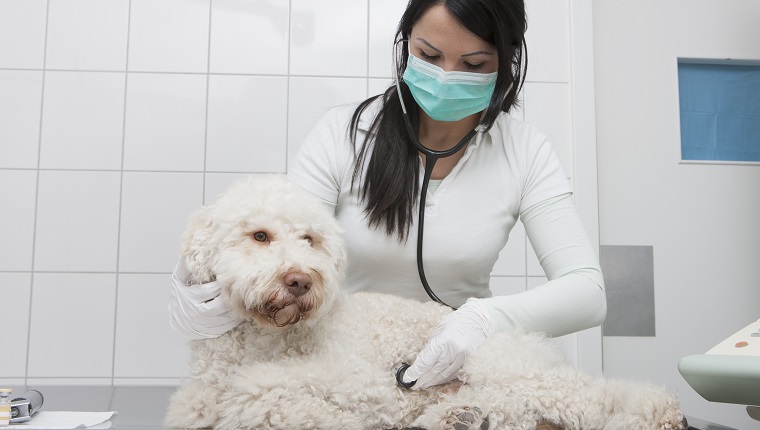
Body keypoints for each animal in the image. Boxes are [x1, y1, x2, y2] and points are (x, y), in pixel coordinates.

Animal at [163, 175, 684, 430]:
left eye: (310, 239)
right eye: (260, 235)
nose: (300, 281)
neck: (263, 337)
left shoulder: (356, 381)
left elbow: (256, 393)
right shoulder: (199, 396)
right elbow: (206, 406)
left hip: (498, 361)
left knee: (590, 397)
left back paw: (660, 414)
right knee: (515, 410)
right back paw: (462, 417)